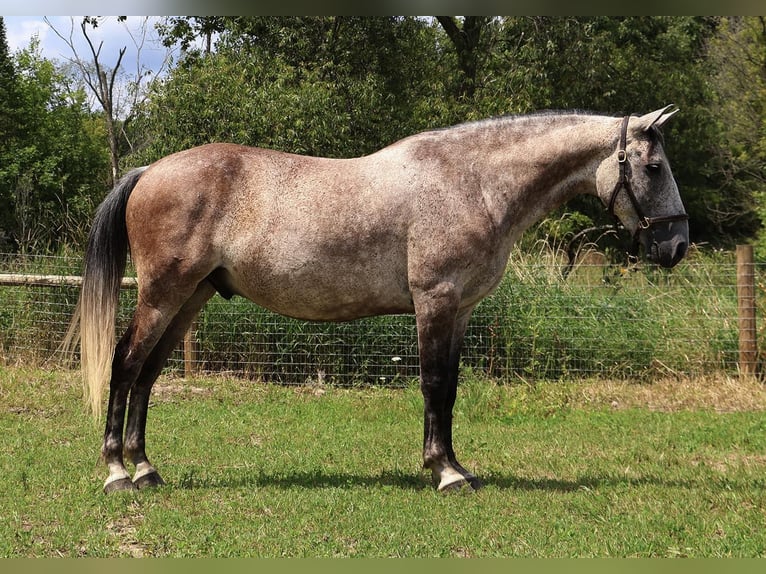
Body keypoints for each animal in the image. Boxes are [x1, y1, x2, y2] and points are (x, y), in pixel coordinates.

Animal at [67, 105, 689, 493]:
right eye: (654, 166)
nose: (678, 244)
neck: (475, 182)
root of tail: (151, 170)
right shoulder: (435, 301)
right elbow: (434, 384)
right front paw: (445, 474)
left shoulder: (459, 310)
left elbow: (449, 388)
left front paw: (451, 465)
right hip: (162, 294)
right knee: (126, 365)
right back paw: (117, 472)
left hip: (190, 298)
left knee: (148, 374)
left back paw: (146, 468)